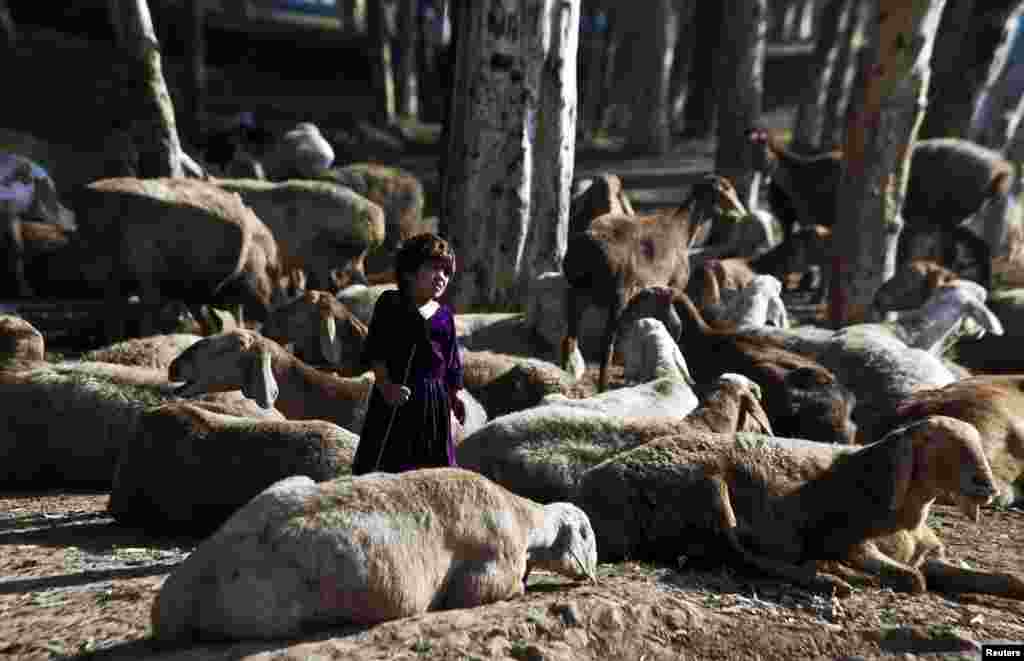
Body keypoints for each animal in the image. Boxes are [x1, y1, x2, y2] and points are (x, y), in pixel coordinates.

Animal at [151, 468, 598, 646]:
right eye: (588, 535)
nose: (592, 574)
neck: (524, 519)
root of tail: (169, 602)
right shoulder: (487, 573)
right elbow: (497, 588)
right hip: (264, 610)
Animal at [561, 173, 729, 390]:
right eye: (725, 189)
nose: (735, 210)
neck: (682, 232)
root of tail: (585, 247)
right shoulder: (673, 288)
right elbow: (674, 325)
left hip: (577, 290)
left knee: (570, 339)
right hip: (618, 293)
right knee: (607, 344)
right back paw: (602, 386)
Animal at [577, 419, 1024, 605]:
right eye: (938, 445)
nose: (987, 486)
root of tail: (590, 485)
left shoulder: (922, 556)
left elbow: (1001, 579)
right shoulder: (847, 540)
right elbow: (914, 581)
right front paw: (847, 572)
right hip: (708, 485)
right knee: (742, 556)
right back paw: (831, 579)